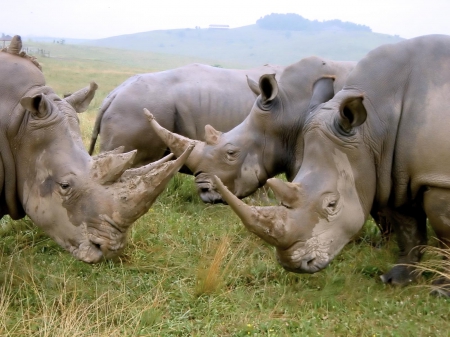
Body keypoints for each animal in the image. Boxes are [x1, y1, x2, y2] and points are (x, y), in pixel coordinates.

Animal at [213, 34, 450, 294]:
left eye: (332, 204)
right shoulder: (393, 173)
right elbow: (408, 229)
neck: (374, 128)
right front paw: (396, 279)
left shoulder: (438, 179)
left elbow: (445, 232)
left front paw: (440, 290)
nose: (293, 264)